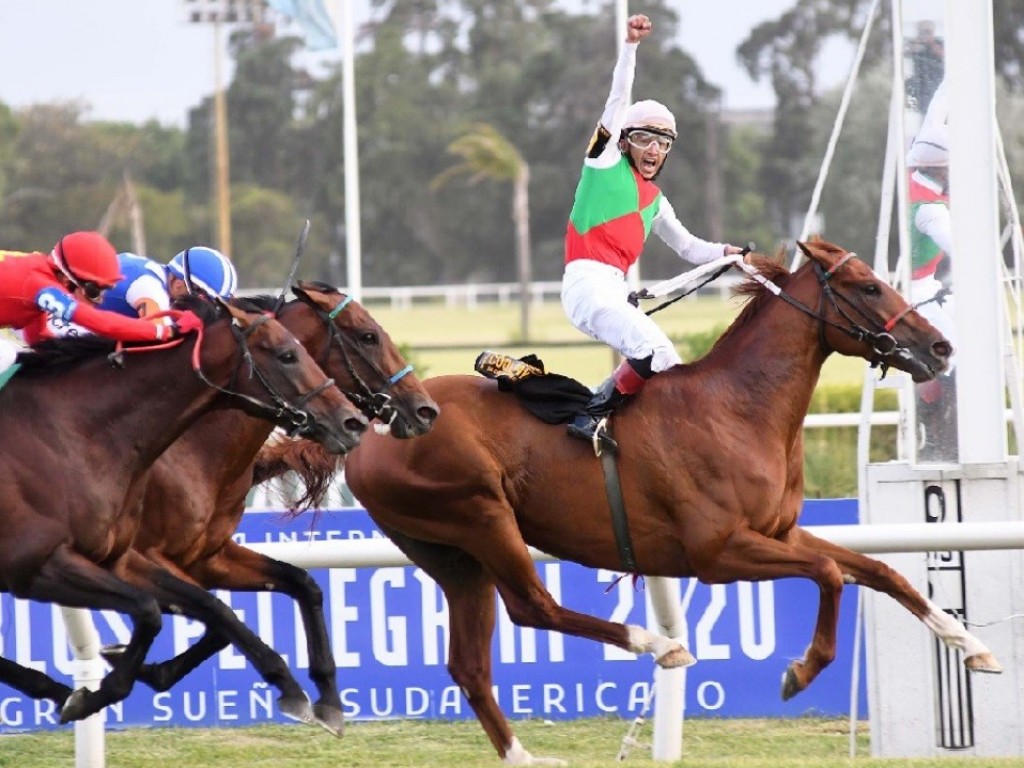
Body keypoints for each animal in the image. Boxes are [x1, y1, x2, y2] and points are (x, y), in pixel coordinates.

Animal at [0, 296, 368, 724]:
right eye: (287, 355)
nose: (353, 422)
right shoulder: (39, 565)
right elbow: (164, 611)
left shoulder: (141, 558)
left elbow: (253, 596)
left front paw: (322, 697)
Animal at [101, 280, 438, 737]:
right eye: (368, 336)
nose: (426, 410)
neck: (195, 444)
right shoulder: (143, 555)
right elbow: (214, 612)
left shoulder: (206, 555)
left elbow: (292, 588)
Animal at [342, 239, 999, 765]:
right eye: (868, 286)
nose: (941, 348)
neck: (739, 407)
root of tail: (373, 431)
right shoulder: (718, 553)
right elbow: (831, 574)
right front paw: (801, 670)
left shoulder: (778, 532)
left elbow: (883, 571)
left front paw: (972, 646)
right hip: (482, 517)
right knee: (533, 607)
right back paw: (658, 645)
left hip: (452, 557)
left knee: (470, 664)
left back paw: (524, 755)